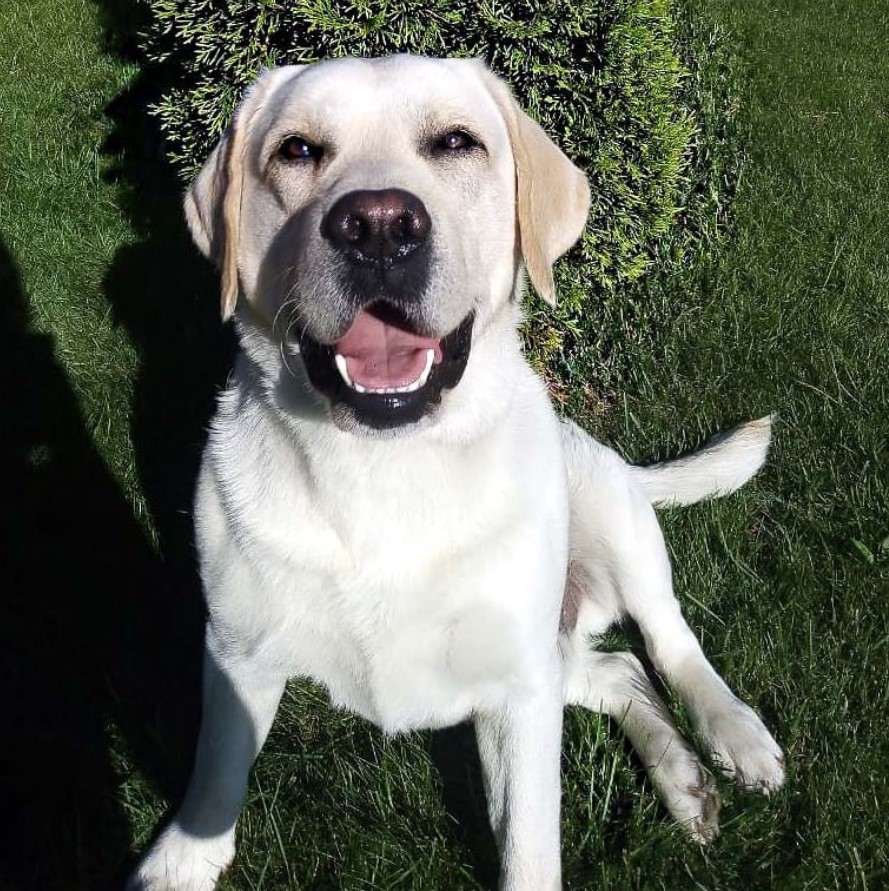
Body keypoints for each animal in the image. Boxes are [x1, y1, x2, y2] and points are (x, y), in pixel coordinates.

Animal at [128, 57, 780, 891]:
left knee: (668, 640)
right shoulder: (238, 647)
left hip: (611, 516)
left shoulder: (517, 688)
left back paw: (731, 735)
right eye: (296, 149)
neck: (384, 466)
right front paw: (183, 855)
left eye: (456, 142)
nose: (377, 226)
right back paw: (682, 779)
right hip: (557, 651)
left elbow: (529, 844)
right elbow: (216, 765)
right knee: (619, 668)